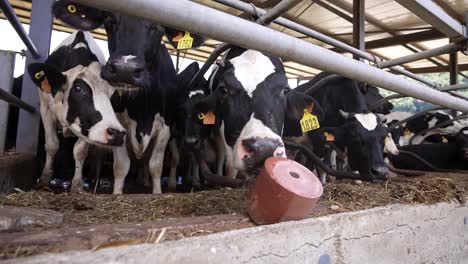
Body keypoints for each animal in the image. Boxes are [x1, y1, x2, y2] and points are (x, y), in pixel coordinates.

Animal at [27, 31, 126, 192]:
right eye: (78, 89)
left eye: (113, 95)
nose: (117, 133)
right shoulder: (45, 107)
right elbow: (52, 145)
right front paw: (44, 179)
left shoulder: (86, 126)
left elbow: (80, 151)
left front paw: (77, 185)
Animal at [51, 0, 205, 194]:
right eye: (109, 20)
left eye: (158, 27)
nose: (125, 70)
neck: (141, 109)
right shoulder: (117, 124)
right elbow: (121, 166)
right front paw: (117, 193)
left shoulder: (166, 128)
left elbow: (155, 165)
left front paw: (157, 192)